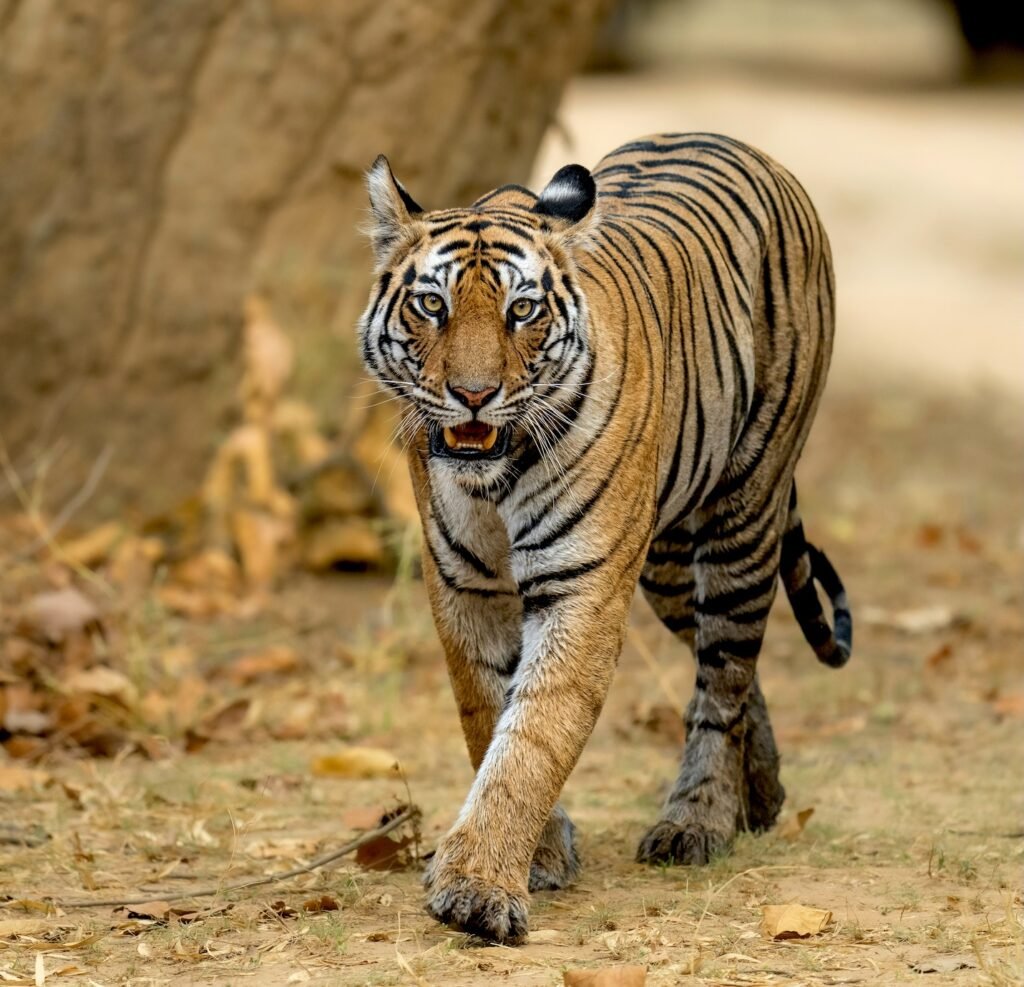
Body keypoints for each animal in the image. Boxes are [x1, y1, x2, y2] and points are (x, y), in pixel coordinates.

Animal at [357, 132, 852, 944]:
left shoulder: (582, 587)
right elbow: (487, 713)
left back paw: (698, 821)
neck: (493, 478)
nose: (473, 395)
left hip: (744, 514)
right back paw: (764, 792)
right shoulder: (464, 585)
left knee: (724, 676)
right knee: (732, 667)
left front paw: (479, 889)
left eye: (522, 310)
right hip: (666, 564)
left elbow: (534, 733)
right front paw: (537, 856)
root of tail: (744, 146)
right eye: (432, 304)